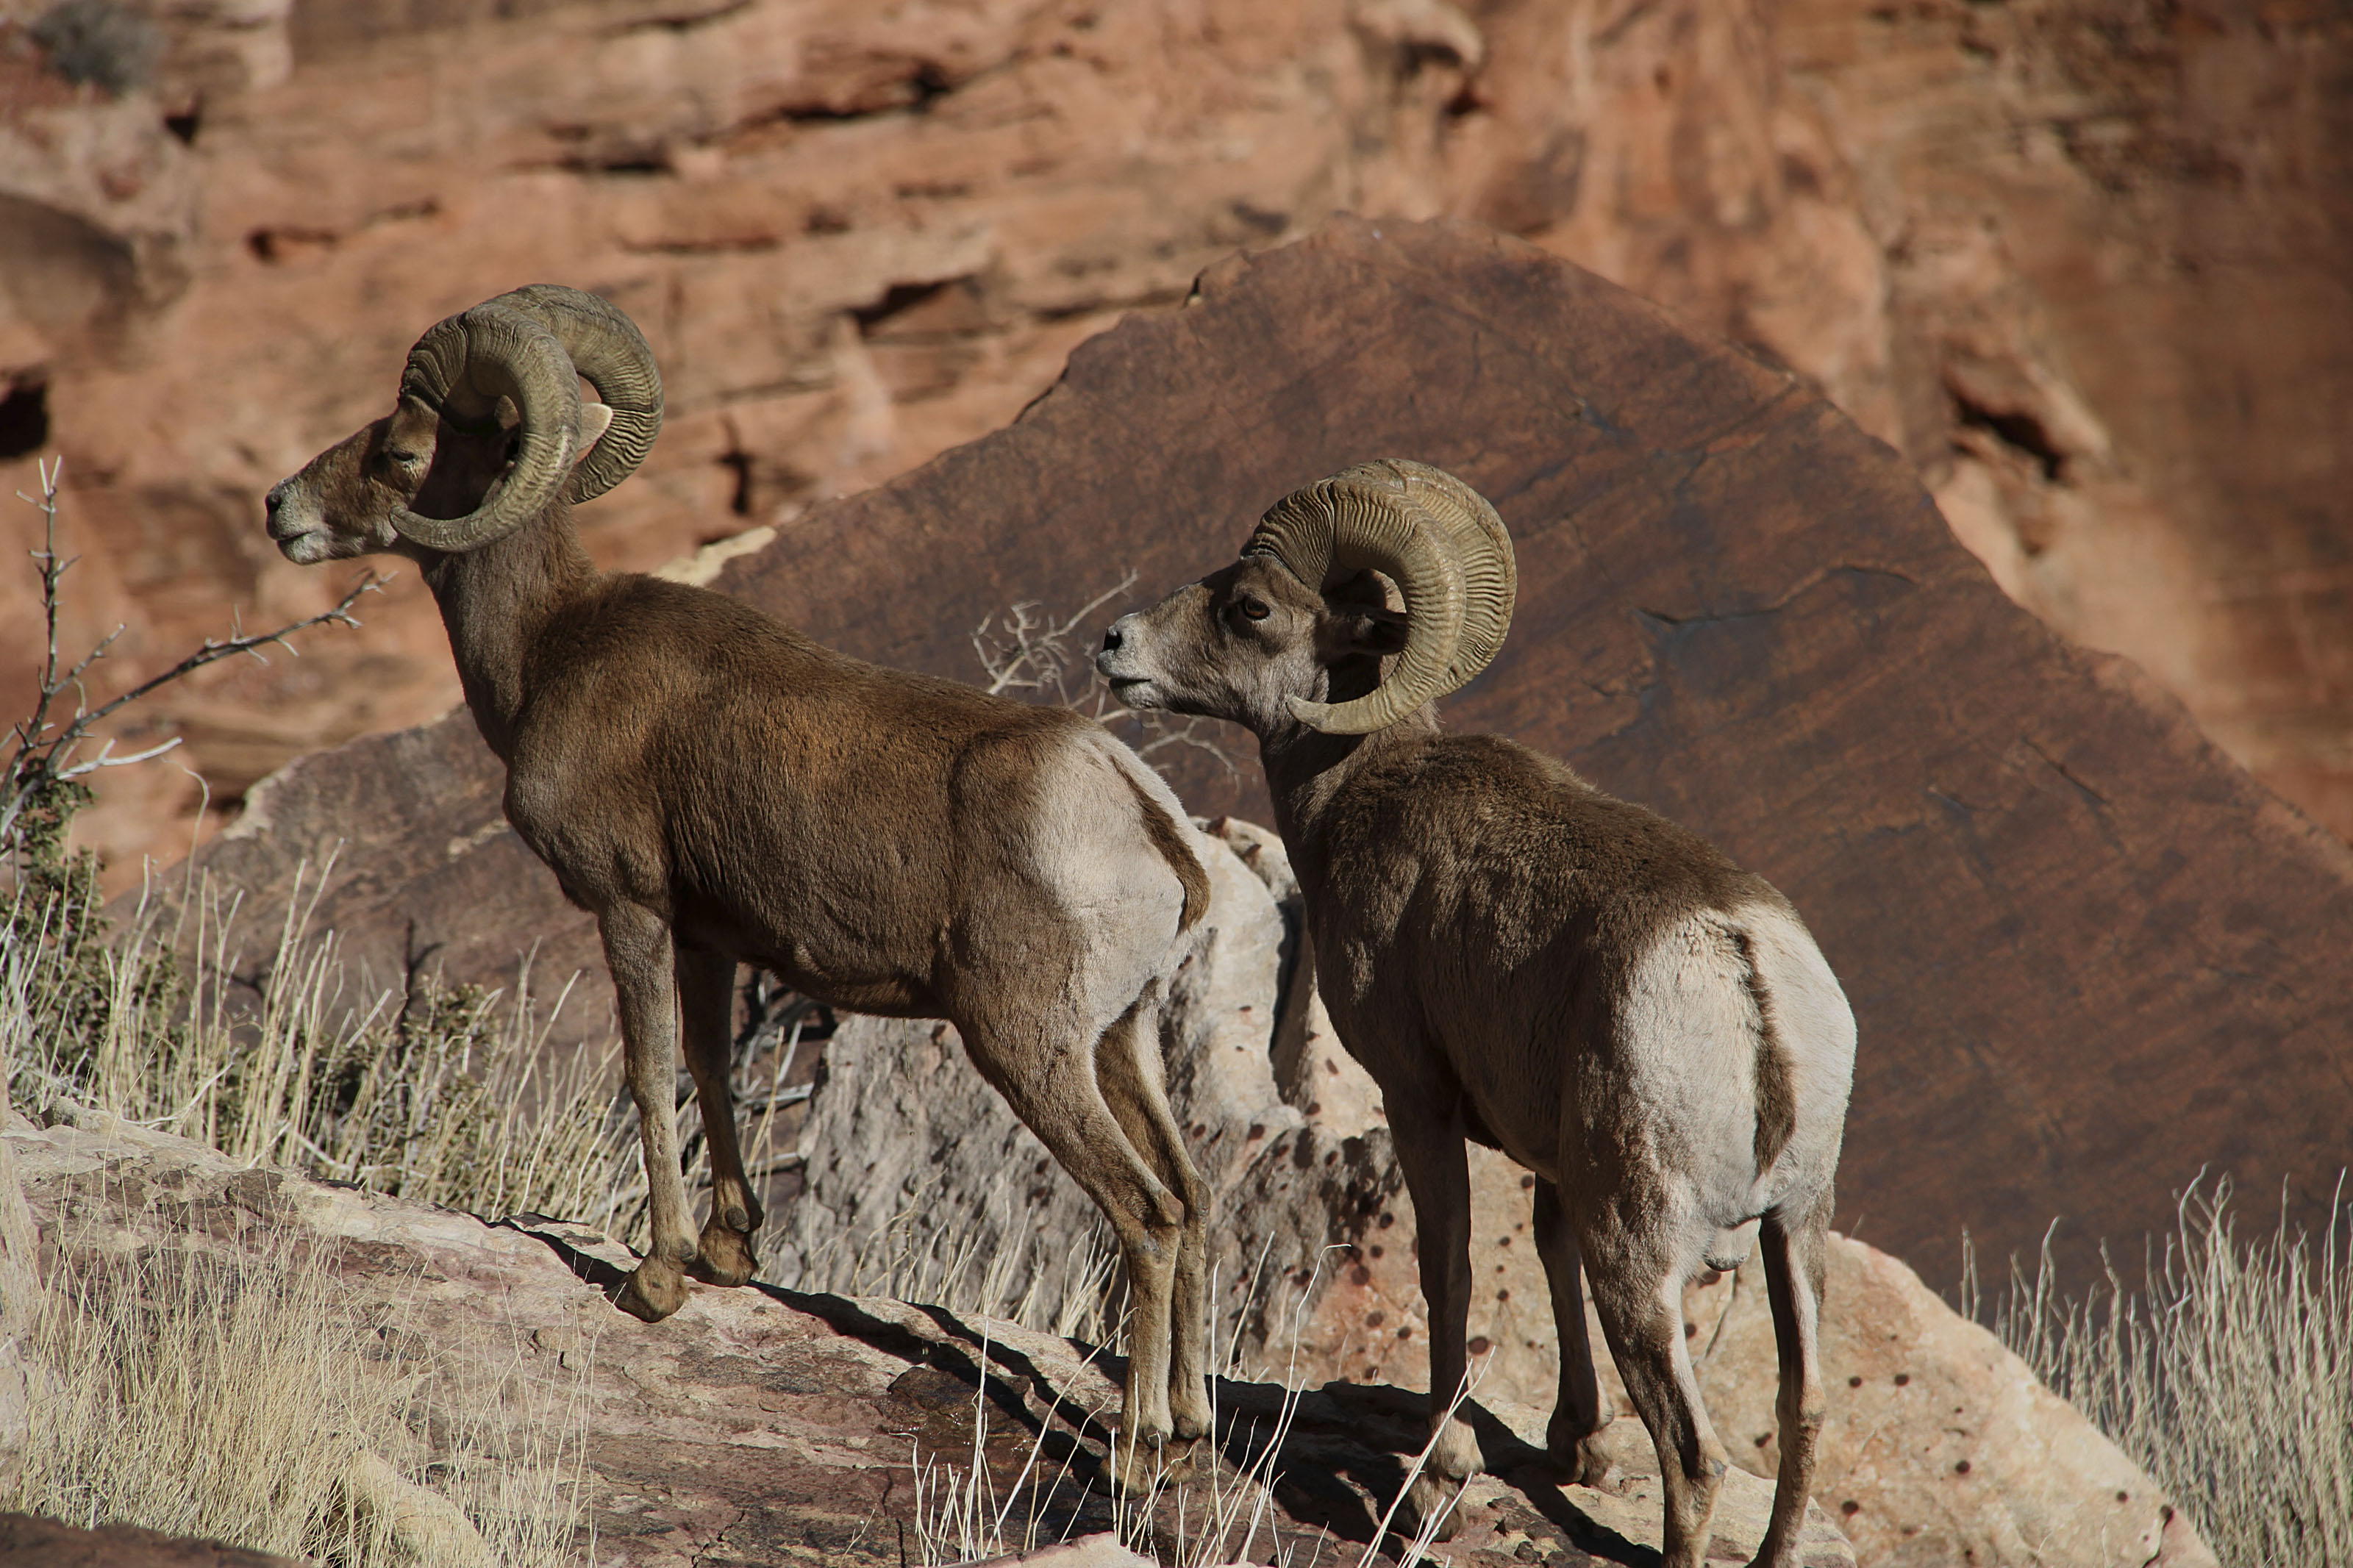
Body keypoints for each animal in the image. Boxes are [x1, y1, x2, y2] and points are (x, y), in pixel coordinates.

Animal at [271, 287, 1214, 1476]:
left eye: (400, 451)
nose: (280, 509)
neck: (545, 649)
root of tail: (1145, 820)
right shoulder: (709, 936)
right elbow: (711, 1071)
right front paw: (728, 1254)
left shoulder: (628, 906)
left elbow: (648, 1071)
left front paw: (657, 1280)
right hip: (1123, 1041)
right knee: (1192, 1201)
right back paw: (1193, 1424)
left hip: (1028, 1046)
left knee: (1144, 1214)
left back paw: (1136, 1451)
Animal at [1101, 460, 1854, 1561]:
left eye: (1250, 607)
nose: (1114, 649)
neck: (1355, 795)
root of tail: (1743, 967)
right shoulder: (1553, 1159)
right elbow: (1544, 1250)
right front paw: (1577, 1446)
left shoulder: (1417, 1097)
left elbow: (1446, 1267)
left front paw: (1440, 1471)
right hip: (1795, 1231)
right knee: (1804, 1418)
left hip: (1643, 1253)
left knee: (1697, 1457)